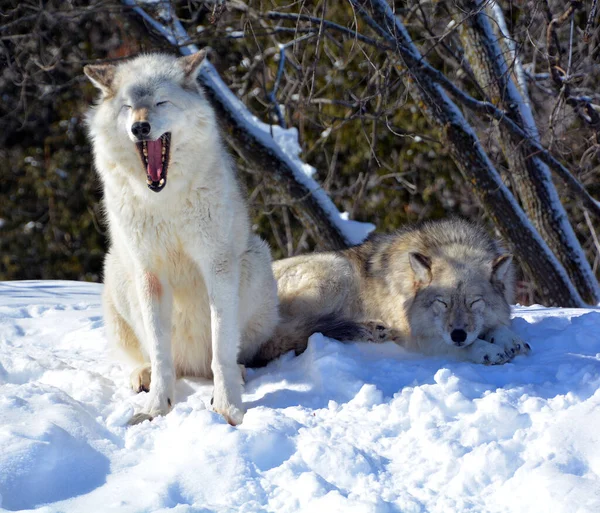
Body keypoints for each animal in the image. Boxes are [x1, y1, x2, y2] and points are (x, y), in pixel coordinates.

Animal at [83, 52, 278, 424]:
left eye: (161, 102)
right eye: (128, 107)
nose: (140, 128)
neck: (165, 199)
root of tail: (192, 366)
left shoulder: (217, 266)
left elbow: (222, 350)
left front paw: (228, 408)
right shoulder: (149, 273)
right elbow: (161, 356)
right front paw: (156, 409)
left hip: (255, 261)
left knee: (226, 356)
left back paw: (237, 373)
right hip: (117, 271)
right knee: (151, 358)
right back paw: (142, 375)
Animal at [253, 218, 528, 366]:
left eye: (474, 302)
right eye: (442, 303)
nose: (458, 334)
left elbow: (501, 326)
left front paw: (511, 341)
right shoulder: (418, 338)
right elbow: (462, 346)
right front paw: (486, 350)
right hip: (337, 272)